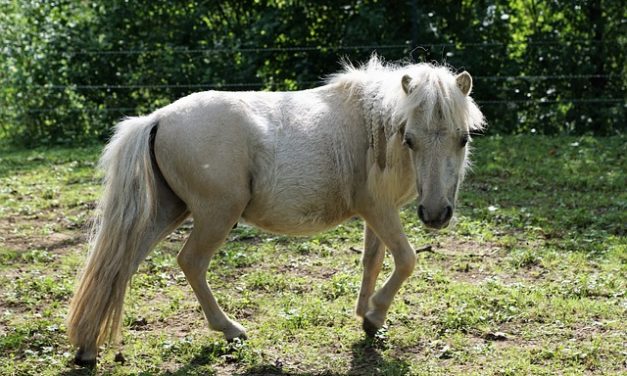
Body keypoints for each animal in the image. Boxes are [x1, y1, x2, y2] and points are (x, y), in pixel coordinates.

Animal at [67, 55, 486, 364]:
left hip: (168, 212)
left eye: (463, 139)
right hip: (215, 216)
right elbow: (406, 260)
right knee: (190, 263)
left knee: (119, 265)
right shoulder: (380, 211)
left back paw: (88, 346)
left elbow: (373, 261)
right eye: (410, 139)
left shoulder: (377, 215)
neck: (374, 127)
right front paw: (375, 314)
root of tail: (157, 118)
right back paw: (230, 330)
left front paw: (365, 317)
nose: (436, 214)